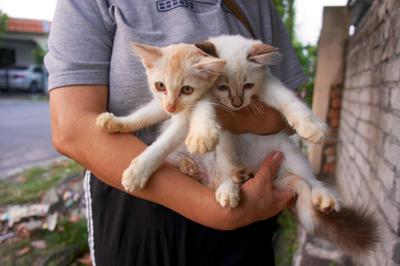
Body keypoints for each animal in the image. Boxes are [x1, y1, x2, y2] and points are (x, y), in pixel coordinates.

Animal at [96, 42, 228, 191]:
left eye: (187, 89)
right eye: (160, 86)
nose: (171, 107)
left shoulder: (207, 96)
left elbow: (164, 144)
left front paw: (138, 171)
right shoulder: (161, 105)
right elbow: (144, 115)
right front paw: (116, 122)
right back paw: (188, 167)